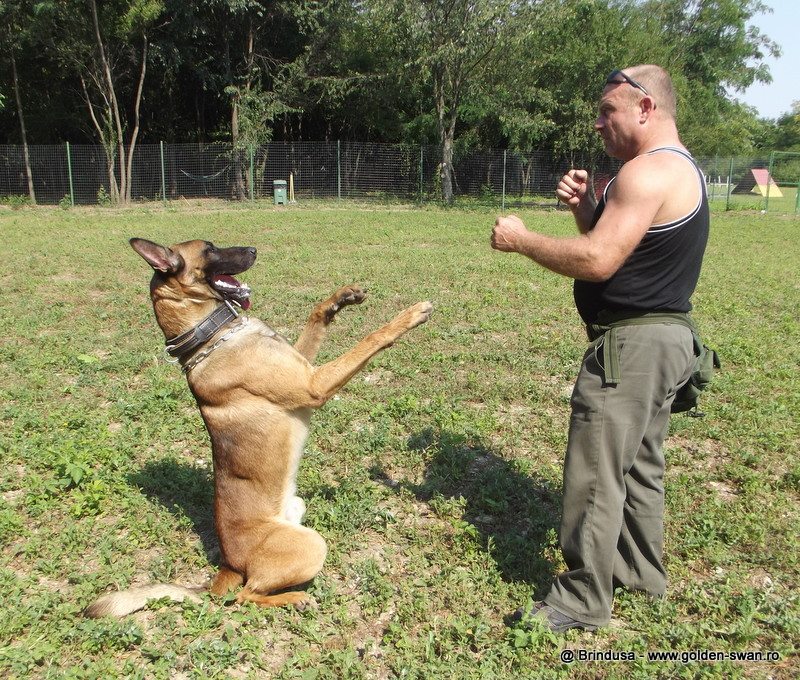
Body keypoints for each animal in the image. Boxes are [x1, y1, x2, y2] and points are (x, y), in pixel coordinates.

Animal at [86, 238, 432, 617]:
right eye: (209, 249)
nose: (253, 249)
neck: (211, 336)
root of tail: (227, 565)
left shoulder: (304, 366)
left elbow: (315, 317)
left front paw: (340, 299)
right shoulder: (314, 384)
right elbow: (370, 340)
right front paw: (408, 316)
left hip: (297, 509)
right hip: (310, 546)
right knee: (245, 596)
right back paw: (295, 598)